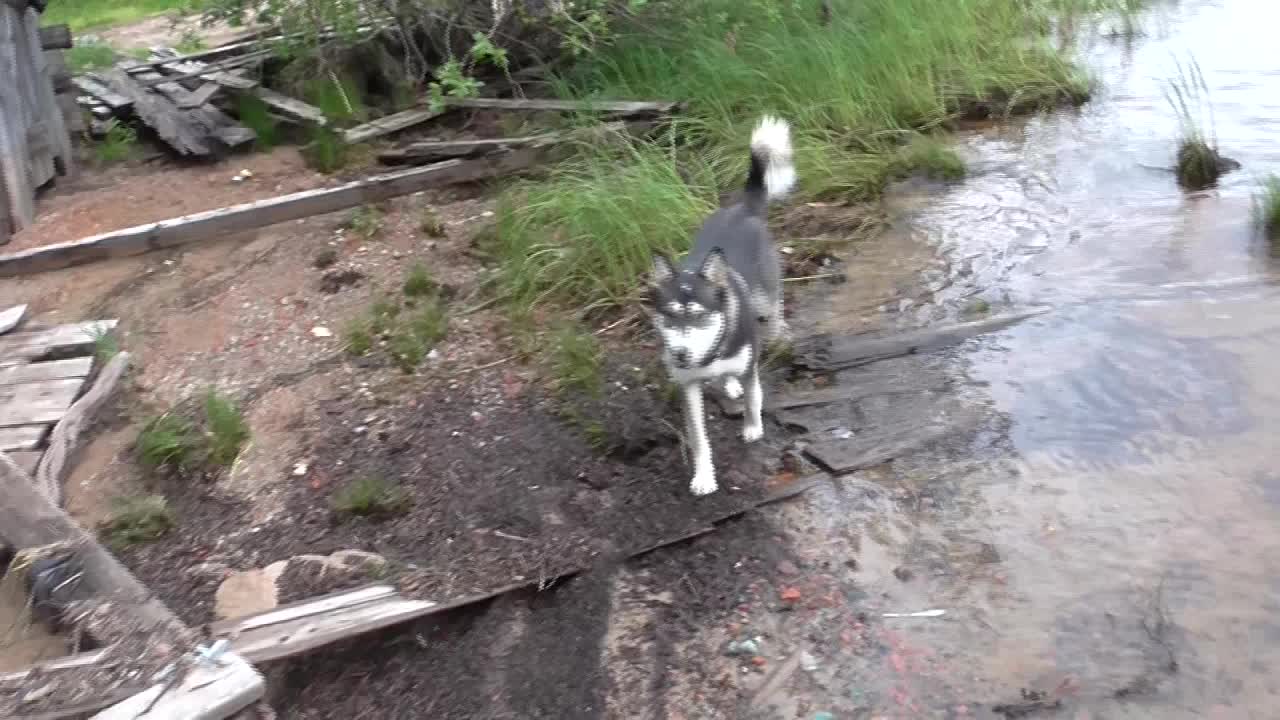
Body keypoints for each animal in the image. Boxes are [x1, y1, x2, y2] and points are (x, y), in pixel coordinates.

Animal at [645, 116, 793, 491]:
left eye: (699, 316)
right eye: (669, 317)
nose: (680, 355)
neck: (709, 353)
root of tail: (742, 208)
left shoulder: (749, 366)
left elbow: (754, 398)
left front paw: (753, 428)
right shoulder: (688, 387)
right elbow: (698, 438)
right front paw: (703, 477)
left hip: (767, 303)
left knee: (775, 317)